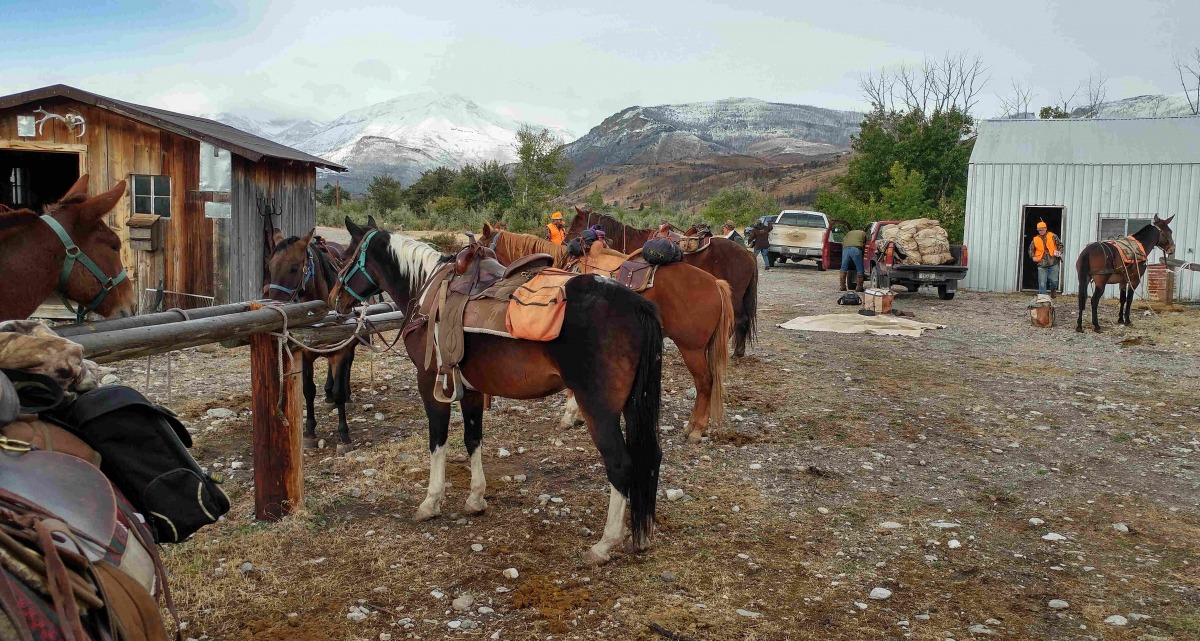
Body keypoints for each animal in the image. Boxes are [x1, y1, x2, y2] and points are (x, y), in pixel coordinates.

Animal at [268, 225, 364, 451]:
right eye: (270, 267)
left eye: (294, 268)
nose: (274, 303)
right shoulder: (305, 354)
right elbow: (308, 390)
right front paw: (310, 431)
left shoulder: (341, 350)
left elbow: (339, 389)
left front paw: (343, 433)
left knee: (346, 370)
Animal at [328, 218, 667, 566]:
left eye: (345, 258)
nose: (334, 299)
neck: (425, 290)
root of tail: (637, 304)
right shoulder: (471, 389)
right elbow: (473, 439)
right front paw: (476, 498)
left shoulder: (430, 383)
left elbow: (438, 442)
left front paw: (431, 502)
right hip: (631, 404)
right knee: (651, 456)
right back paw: (642, 536)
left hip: (598, 408)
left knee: (620, 464)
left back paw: (604, 545)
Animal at [477, 223, 729, 444]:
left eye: (483, 248)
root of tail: (715, 283)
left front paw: (569, 416)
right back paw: (691, 427)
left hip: (691, 348)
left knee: (704, 382)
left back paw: (696, 430)